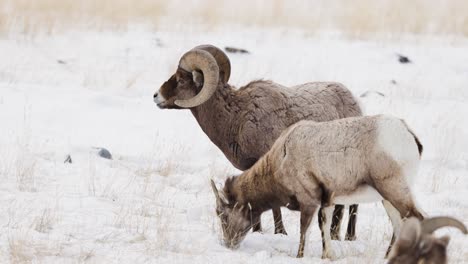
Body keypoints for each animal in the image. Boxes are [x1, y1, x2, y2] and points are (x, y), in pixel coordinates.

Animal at [210, 114, 426, 258]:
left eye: (223, 215)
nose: (228, 244)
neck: (281, 160)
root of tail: (409, 136)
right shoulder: (327, 201)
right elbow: (325, 229)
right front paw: (327, 256)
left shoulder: (309, 201)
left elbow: (304, 232)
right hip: (388, 198)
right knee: (400, 226)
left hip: (394, 190)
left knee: (417, 219)